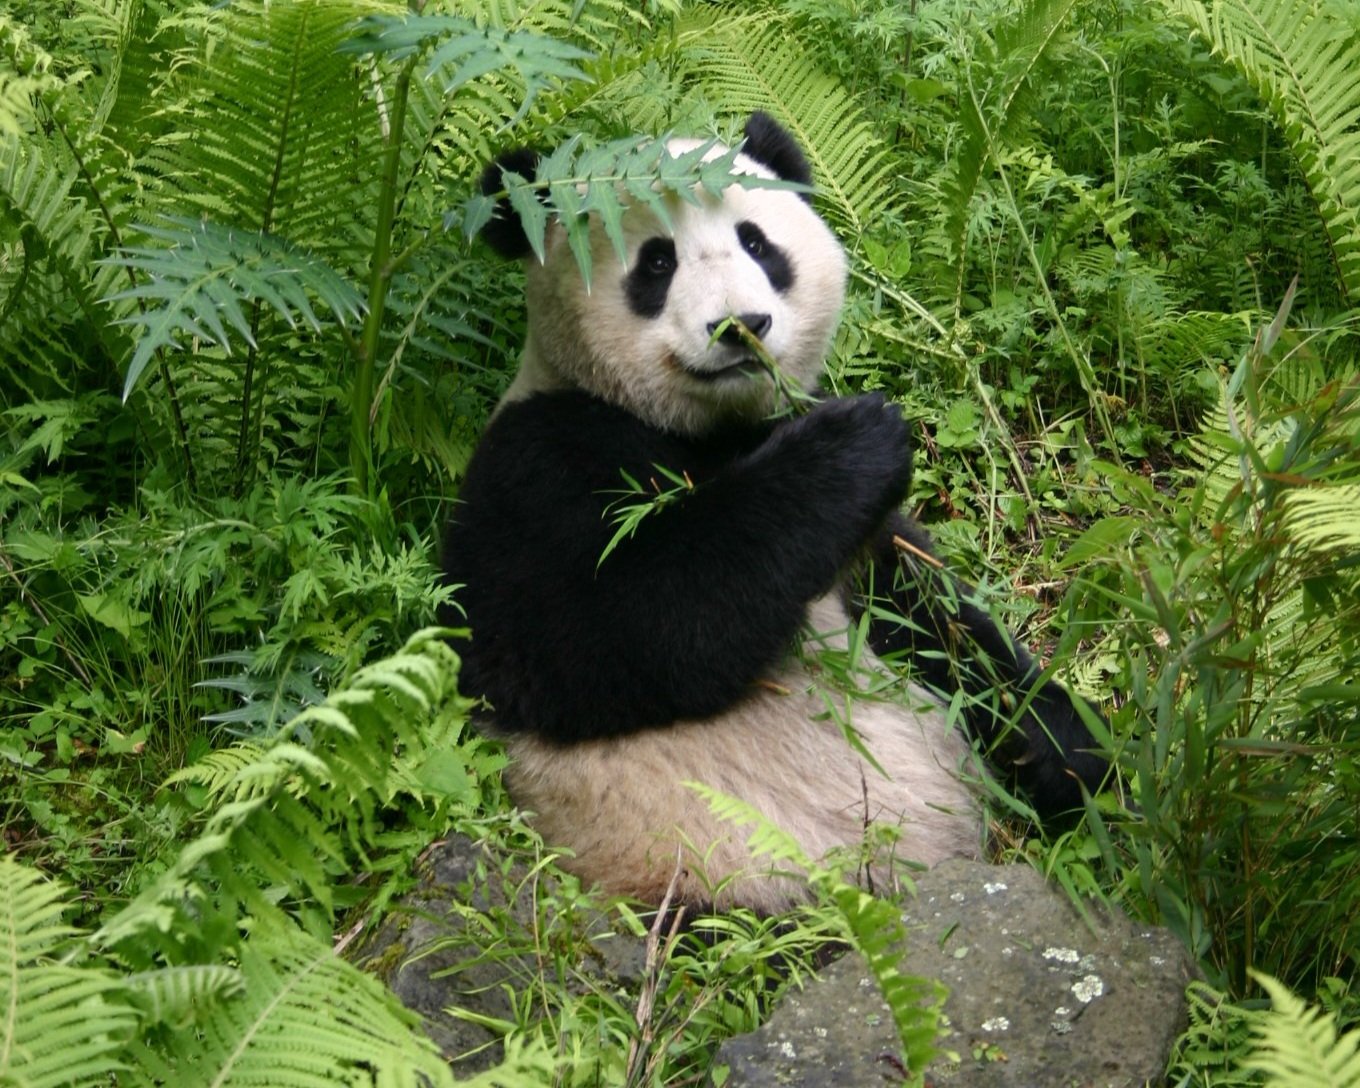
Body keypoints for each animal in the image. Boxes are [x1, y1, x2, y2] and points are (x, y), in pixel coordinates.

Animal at [441, 112, 1105, 913]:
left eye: (758, 243)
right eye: (655, 262)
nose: (741, 325)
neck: (712, 429)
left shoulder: (868, 548)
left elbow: (945, 628)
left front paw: (1078, 757)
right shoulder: (536, 462)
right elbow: (595, 631)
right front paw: (855, 442)